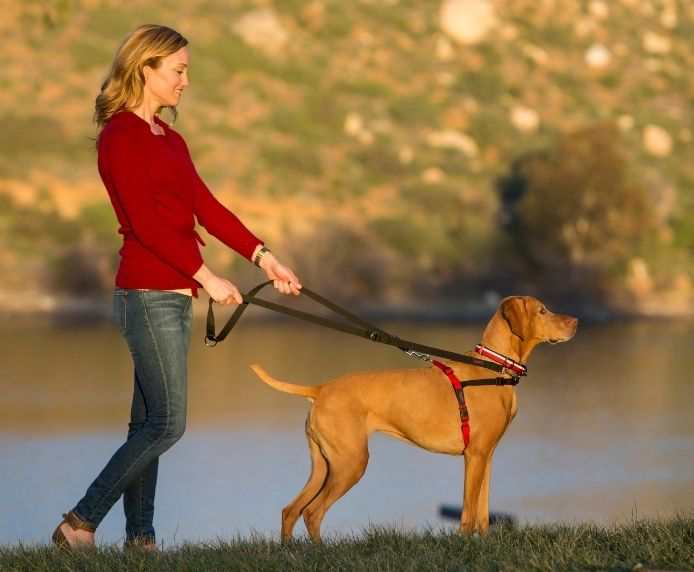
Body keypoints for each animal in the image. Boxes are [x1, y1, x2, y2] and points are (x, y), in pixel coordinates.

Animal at [253, 298, 580, 544]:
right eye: (542, 311)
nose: (576, 320)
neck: (491, 368)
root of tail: (320, 389)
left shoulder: (486, 456)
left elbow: (483, 513)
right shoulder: (474, 456)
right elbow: (468, 512)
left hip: (323, 465)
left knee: (291, 510)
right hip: (350, 463)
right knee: (313, 512)